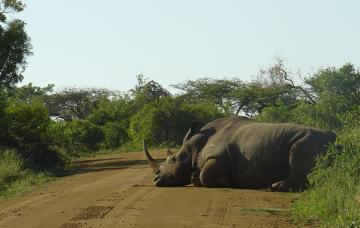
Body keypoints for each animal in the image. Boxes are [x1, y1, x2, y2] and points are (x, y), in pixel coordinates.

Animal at [144, 116, 338, 191]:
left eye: (173, 159)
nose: (156, 180)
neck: (195, 145)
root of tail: (334, 137)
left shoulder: (219, 156)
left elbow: (205, 176)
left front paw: (227, 183)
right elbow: (197, 176)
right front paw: (194, 177)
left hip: (308, 142)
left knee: (297, 152)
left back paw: (274, 187)